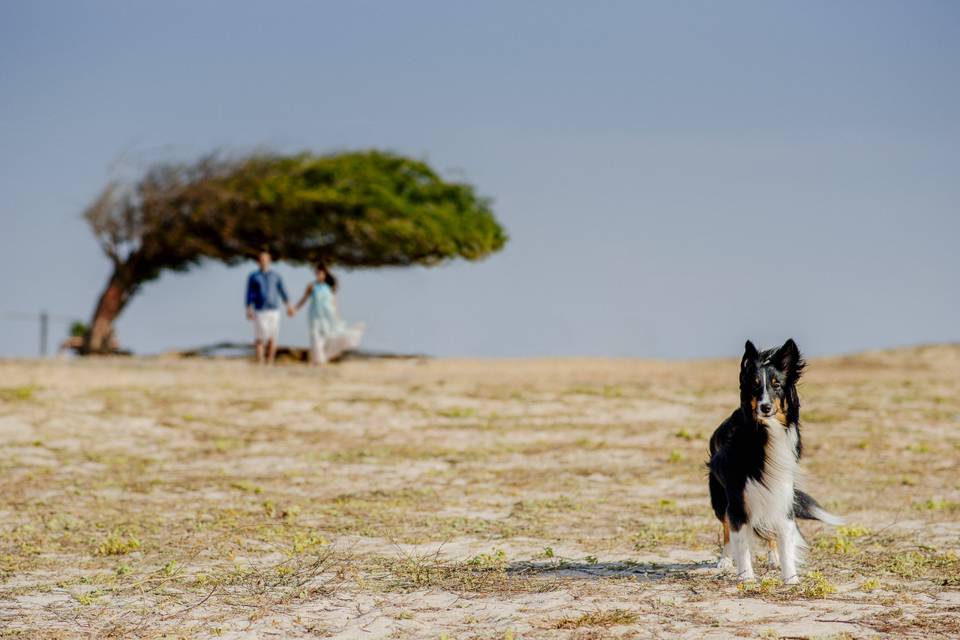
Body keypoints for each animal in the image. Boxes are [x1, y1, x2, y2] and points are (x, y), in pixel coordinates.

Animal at [704, 340, 840, 584]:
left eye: (777, 385)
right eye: (755, 386)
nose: (765, 407)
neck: (765, 433)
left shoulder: (781, 493)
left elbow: (785, 540)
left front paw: (791, 579)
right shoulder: (738, 500)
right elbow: (740, 541)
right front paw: (747, 578)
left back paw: (773, 558)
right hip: (719, 499)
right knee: (727, 527)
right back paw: (726, 560)